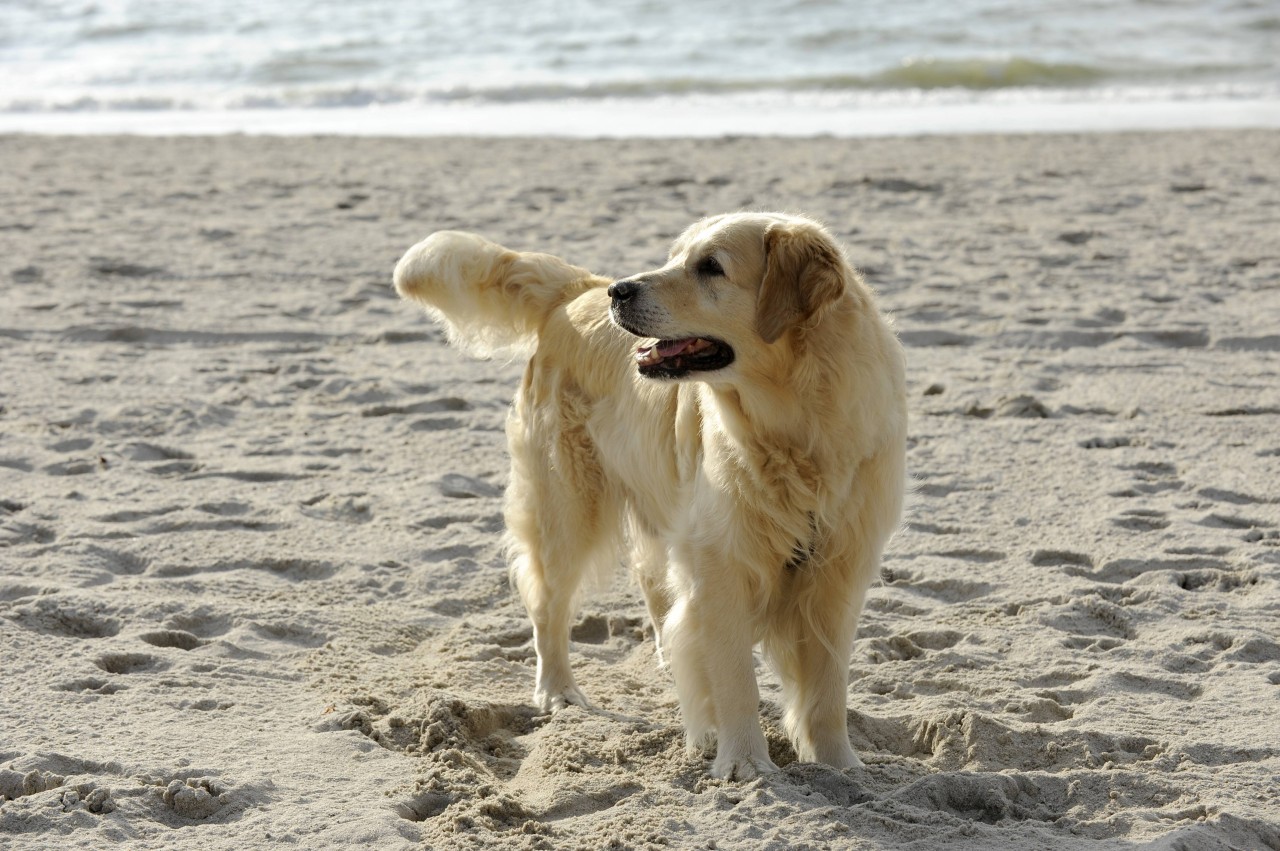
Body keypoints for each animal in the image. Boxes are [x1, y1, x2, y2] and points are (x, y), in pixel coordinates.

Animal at [394, 211, 906, 778]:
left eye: (711, 267)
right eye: (674, 256)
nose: (620, 290)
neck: (796, 428)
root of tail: (578, 288)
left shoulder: (839, 570)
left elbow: (826, 689)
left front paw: (840, 765)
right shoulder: (722, 562)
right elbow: (736, 678)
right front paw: (745, 764)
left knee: (650, 578)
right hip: (566, 507)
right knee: (548, 604)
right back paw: (559, 692)